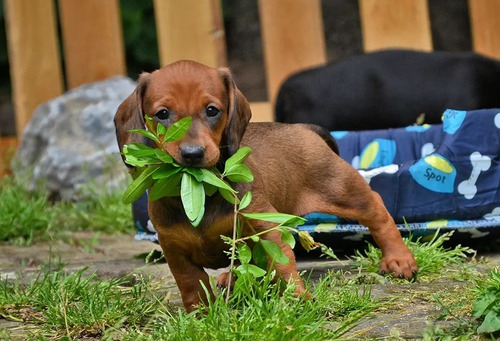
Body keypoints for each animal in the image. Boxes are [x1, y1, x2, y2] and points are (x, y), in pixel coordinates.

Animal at [116, 60, 418, 310]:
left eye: (212, 111)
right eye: (162, 114)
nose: (192, 154)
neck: (200, 189)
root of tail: (302, 128)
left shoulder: (263, 224)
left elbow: (283, 264)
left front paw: (298, 298)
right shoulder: (174, 248)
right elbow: (191, 283)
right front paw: (200, 315)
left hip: (341, 189)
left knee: (376, 209)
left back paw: (398, 258)